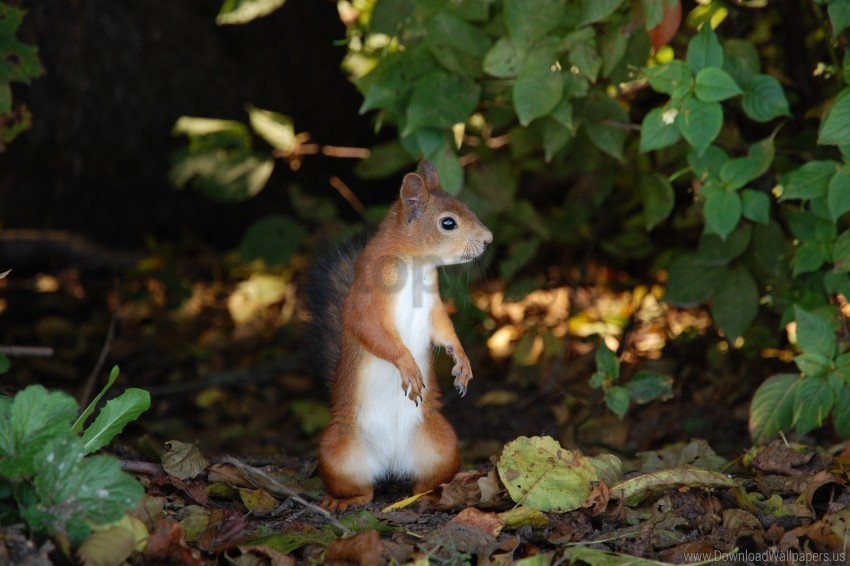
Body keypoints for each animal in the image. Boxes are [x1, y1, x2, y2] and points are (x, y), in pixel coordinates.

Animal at [304, 162, 490, 512]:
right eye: (448, 222)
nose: (488, 240)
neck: (416, 265)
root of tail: (390, 463)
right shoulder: (368, 297)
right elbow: (373, 331)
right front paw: (408, 366)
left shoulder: (432, 304)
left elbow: (444, 328)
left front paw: (461, 360)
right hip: (337, 453)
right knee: (362, 489)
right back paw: (342, 500)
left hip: (442, 447)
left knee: (425, 481)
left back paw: (432, 496)